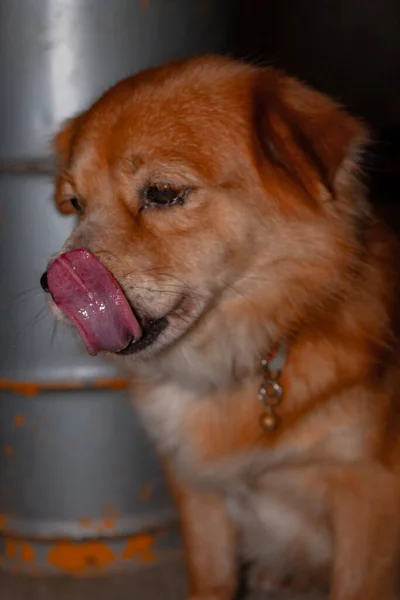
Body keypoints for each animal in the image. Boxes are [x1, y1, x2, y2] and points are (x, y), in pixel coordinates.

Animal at [42, 56, 400, 600]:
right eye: (75, 203)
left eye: (163, 193)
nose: (51, 284)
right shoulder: (197, 491)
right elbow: (212, 577)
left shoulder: (368, 490)